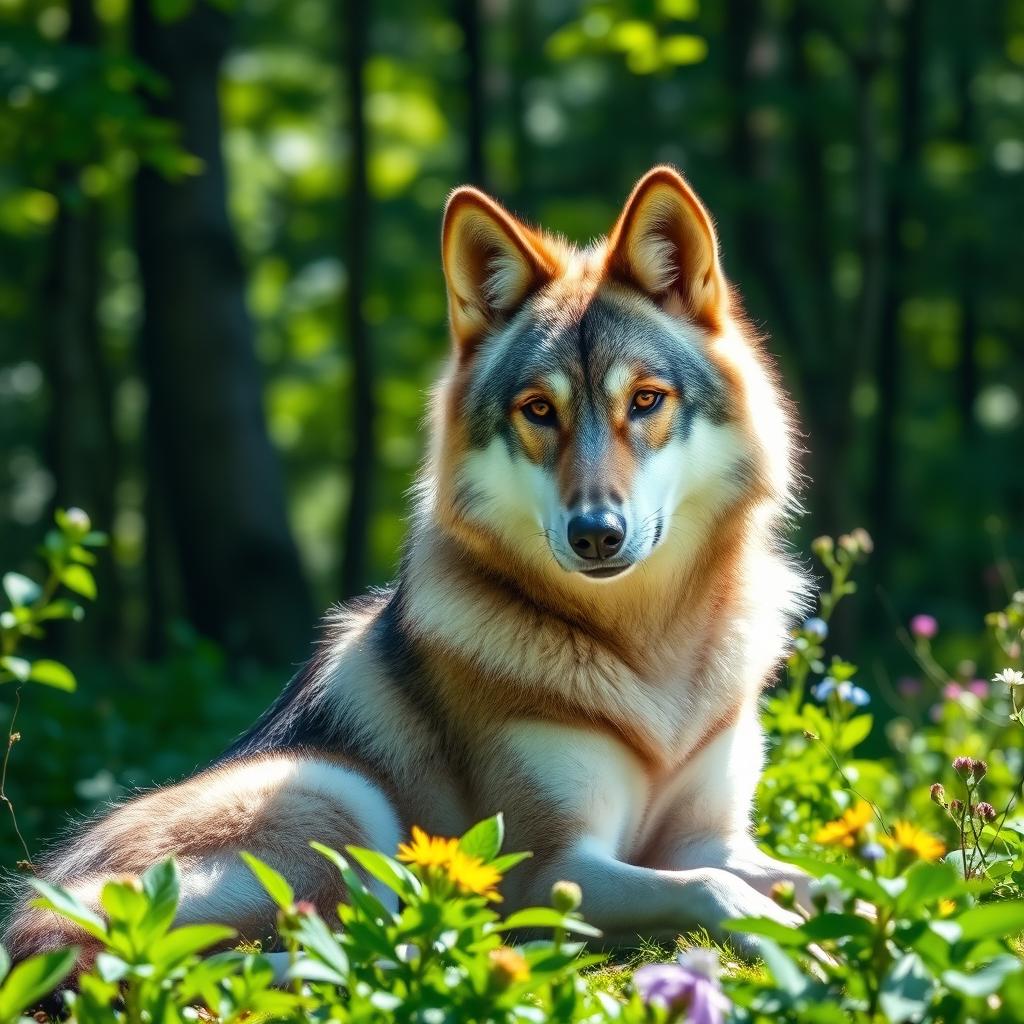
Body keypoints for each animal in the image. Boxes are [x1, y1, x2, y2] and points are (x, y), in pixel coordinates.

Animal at [4, 167, 811, 966]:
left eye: (646, 400)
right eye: (538, 411)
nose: (596, 535)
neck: (651, 651)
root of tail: (31, 926)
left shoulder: (711, 837)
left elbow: (812, 874)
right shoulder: (549, 872)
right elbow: (712, 888)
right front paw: (797, 949)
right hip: (340, 796)